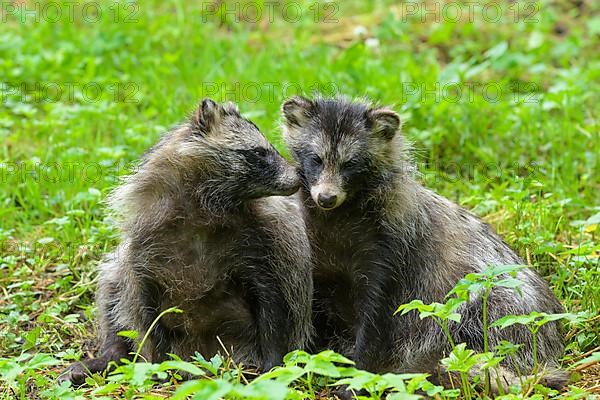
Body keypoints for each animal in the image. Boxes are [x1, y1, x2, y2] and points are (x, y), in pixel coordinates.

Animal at [62, 98, 312, 382]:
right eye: (259, 152)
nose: (298, 175)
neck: (204, 208)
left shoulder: (261, 244)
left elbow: (272, 303)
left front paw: (273, 363)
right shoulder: (146, 247)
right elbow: (146, 312)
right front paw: (157, 366)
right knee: (111, 286)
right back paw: (110, 353)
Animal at [282, 96, 568, 390]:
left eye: (350, 163)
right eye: (316, 159)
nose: (326, 197)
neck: (337, 218)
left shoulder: (390, 247)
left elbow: (377, 317)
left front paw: (360, 374)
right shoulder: (313, 246)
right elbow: (312, 305)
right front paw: (305, 358)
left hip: (500, 304)